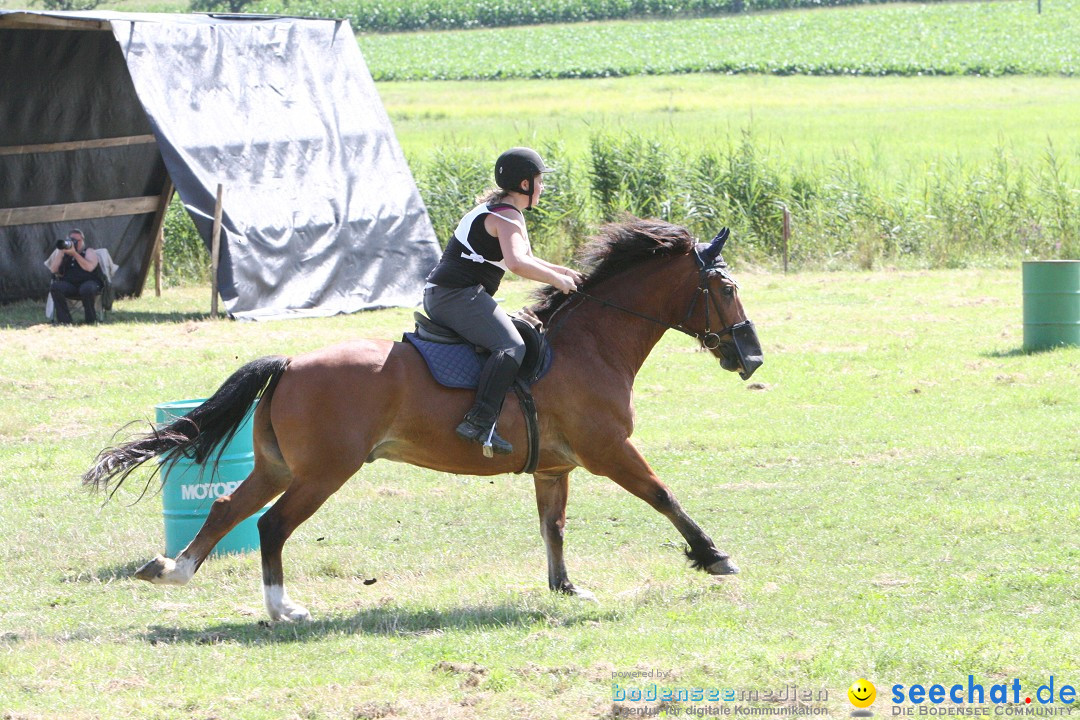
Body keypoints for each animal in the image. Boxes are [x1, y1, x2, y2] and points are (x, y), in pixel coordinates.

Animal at [82, 216, 760, 621]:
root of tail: (292, 361)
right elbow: (664, 495)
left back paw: (174, 569)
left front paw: (565, 588)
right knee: (272, 526)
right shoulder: (610, 450)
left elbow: (554, 528)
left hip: (277, 466)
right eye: (725, 289)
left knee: (228, 508)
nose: (750, 357)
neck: (592, 343)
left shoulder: (555, 468)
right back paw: (282, 609)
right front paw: (714, 556)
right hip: (324, 472)